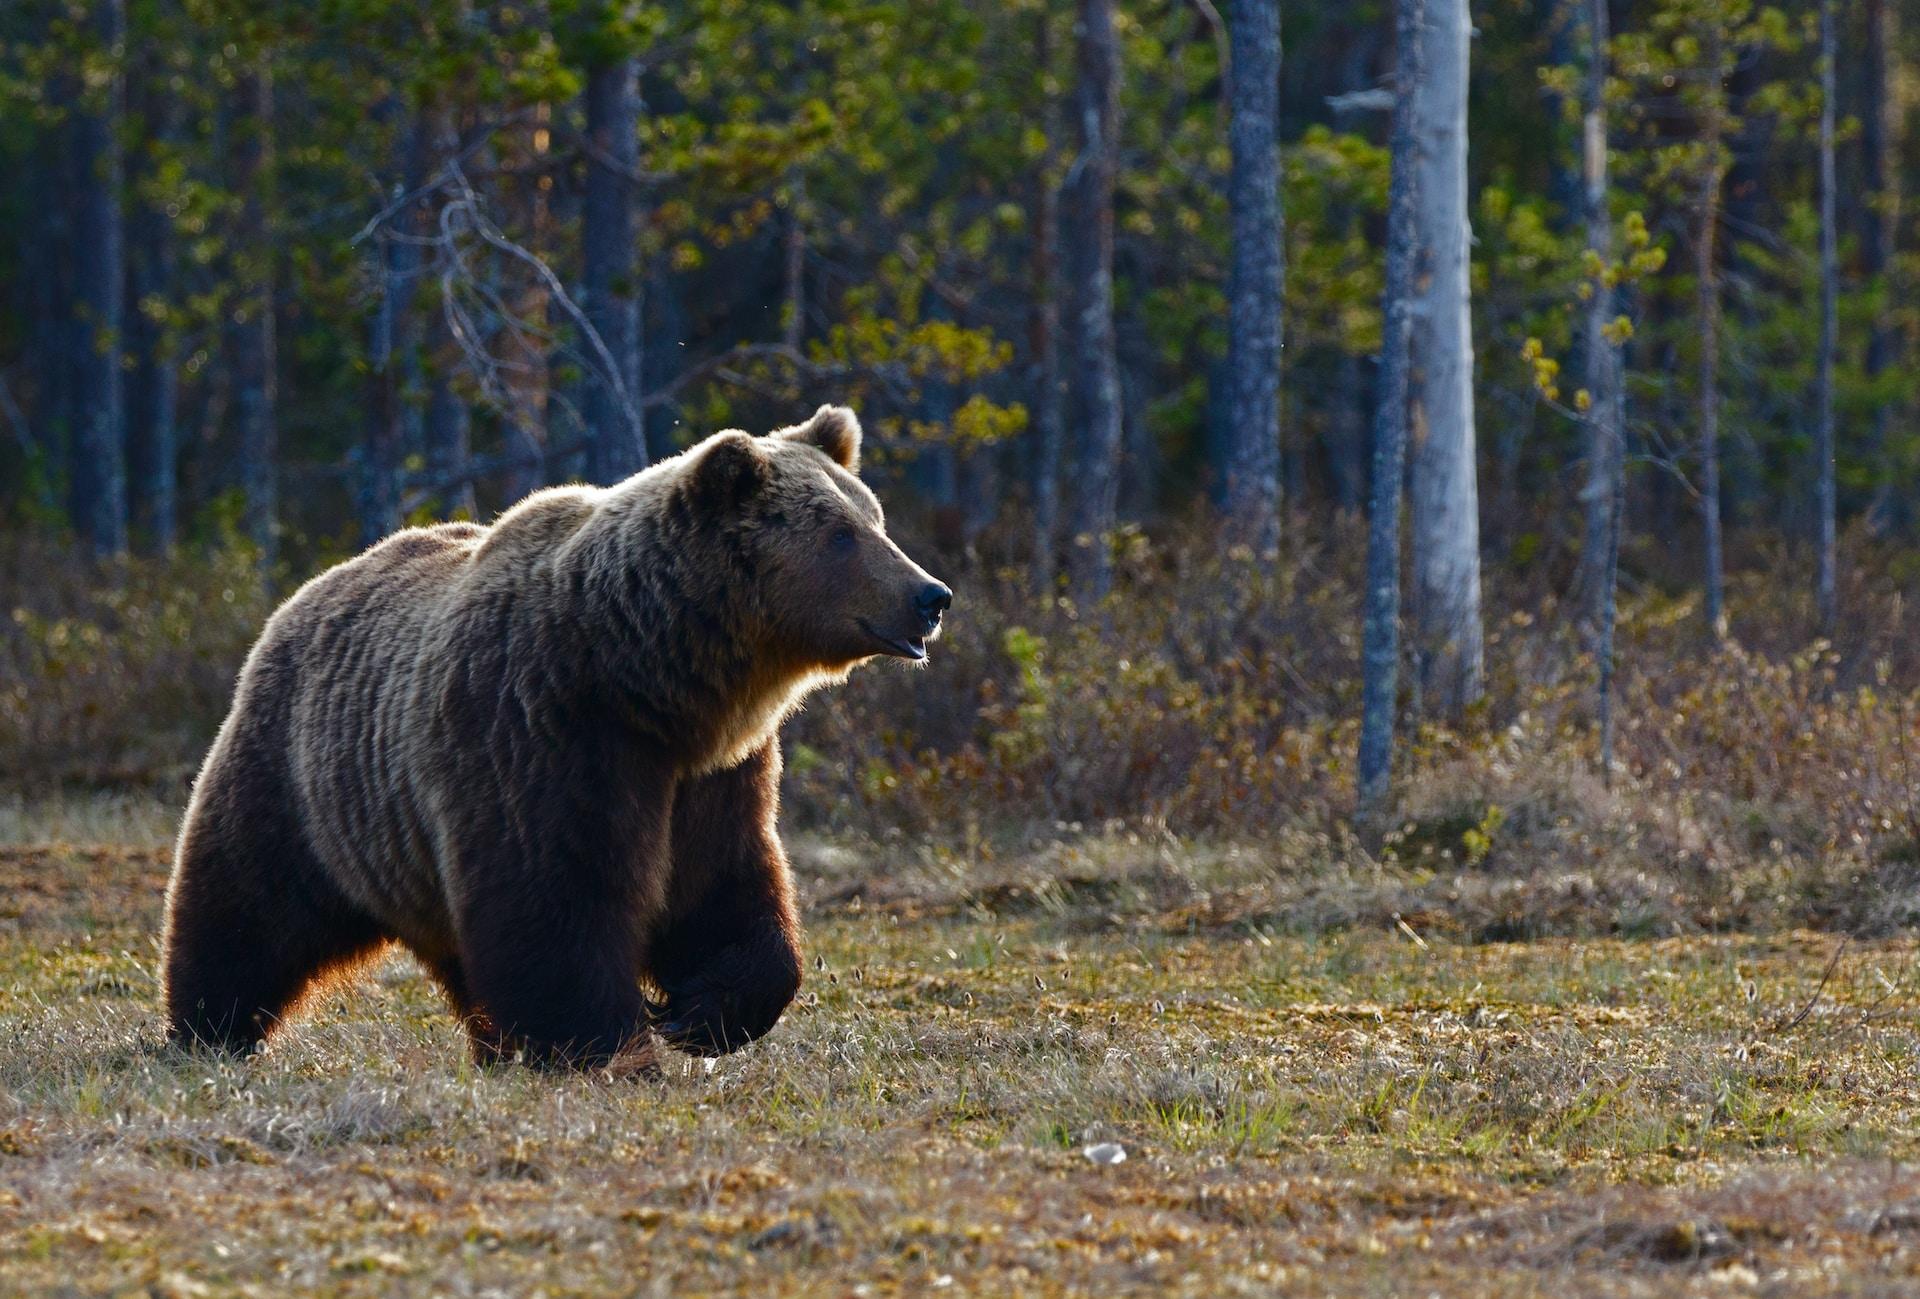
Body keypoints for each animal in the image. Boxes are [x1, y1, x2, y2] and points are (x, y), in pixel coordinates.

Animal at [163, 404, 952, 1066]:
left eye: (875, 519)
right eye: (840, 534)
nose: (931, 595)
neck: (648, 679)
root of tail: (307, 591)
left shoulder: (713, 773)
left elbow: (725, 885)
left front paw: (700, 1011)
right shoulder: (541, 731)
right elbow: (556, 898)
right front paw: (608, 1042)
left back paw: (492, 1045)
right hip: (303, 779)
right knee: (246, 905)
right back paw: (208, 1029)